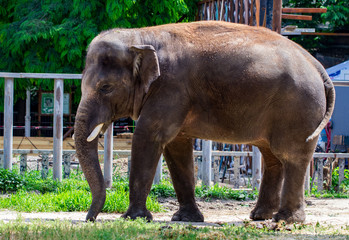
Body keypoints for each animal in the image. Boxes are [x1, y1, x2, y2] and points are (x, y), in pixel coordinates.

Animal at [74, 20, 334, 223]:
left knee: (291, 155)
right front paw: (186, 219)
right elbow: (176, 148)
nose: (90, 219)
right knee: (272, 157)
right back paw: (259, 216)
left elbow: (149, 137)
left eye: (106, 87)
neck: (139, 36)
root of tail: (317, 66)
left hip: (299, 107)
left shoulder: (170, 87)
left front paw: (133, 218)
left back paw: (286, 220)